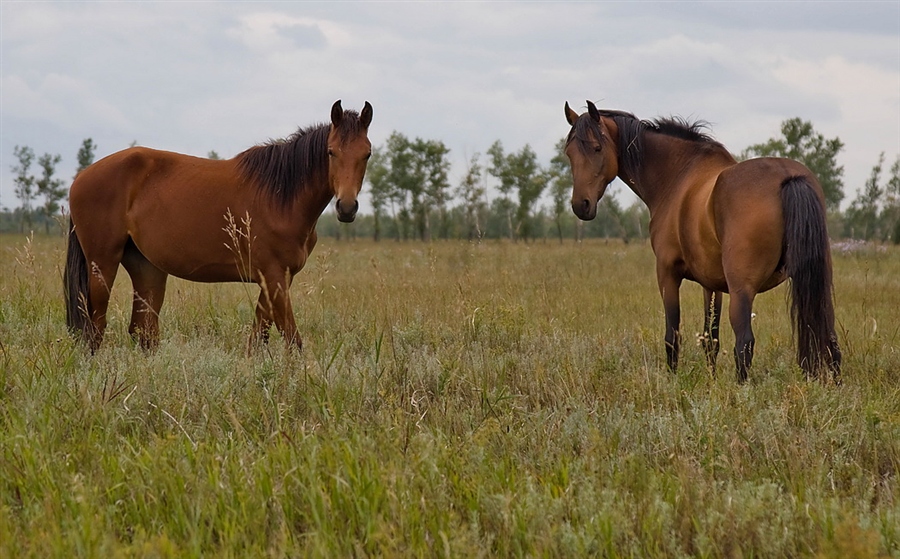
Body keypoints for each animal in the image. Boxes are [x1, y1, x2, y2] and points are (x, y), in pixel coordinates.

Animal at [64, 99, 372, 352]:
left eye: (366, 154)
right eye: (331, 152)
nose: (346, 208)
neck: (280, 197)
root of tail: (81, 177)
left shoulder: (276, 280)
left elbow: (257, 338)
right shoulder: (274, 277)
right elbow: (291, 339)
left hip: (146, 267)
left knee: (143, 331)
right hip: (103, 264)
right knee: (96, 328)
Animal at [568, 100, 840, 382]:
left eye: (597, 148)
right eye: (569, 154)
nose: (581, 205)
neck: (677, 177)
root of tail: (788, 177)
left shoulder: (667, 274)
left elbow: (672, 336)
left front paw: (674, 380)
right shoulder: (712, 285)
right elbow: (711, 339)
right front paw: (711, 381)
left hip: (742, 291)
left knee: (744, 343)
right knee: (828, 337)